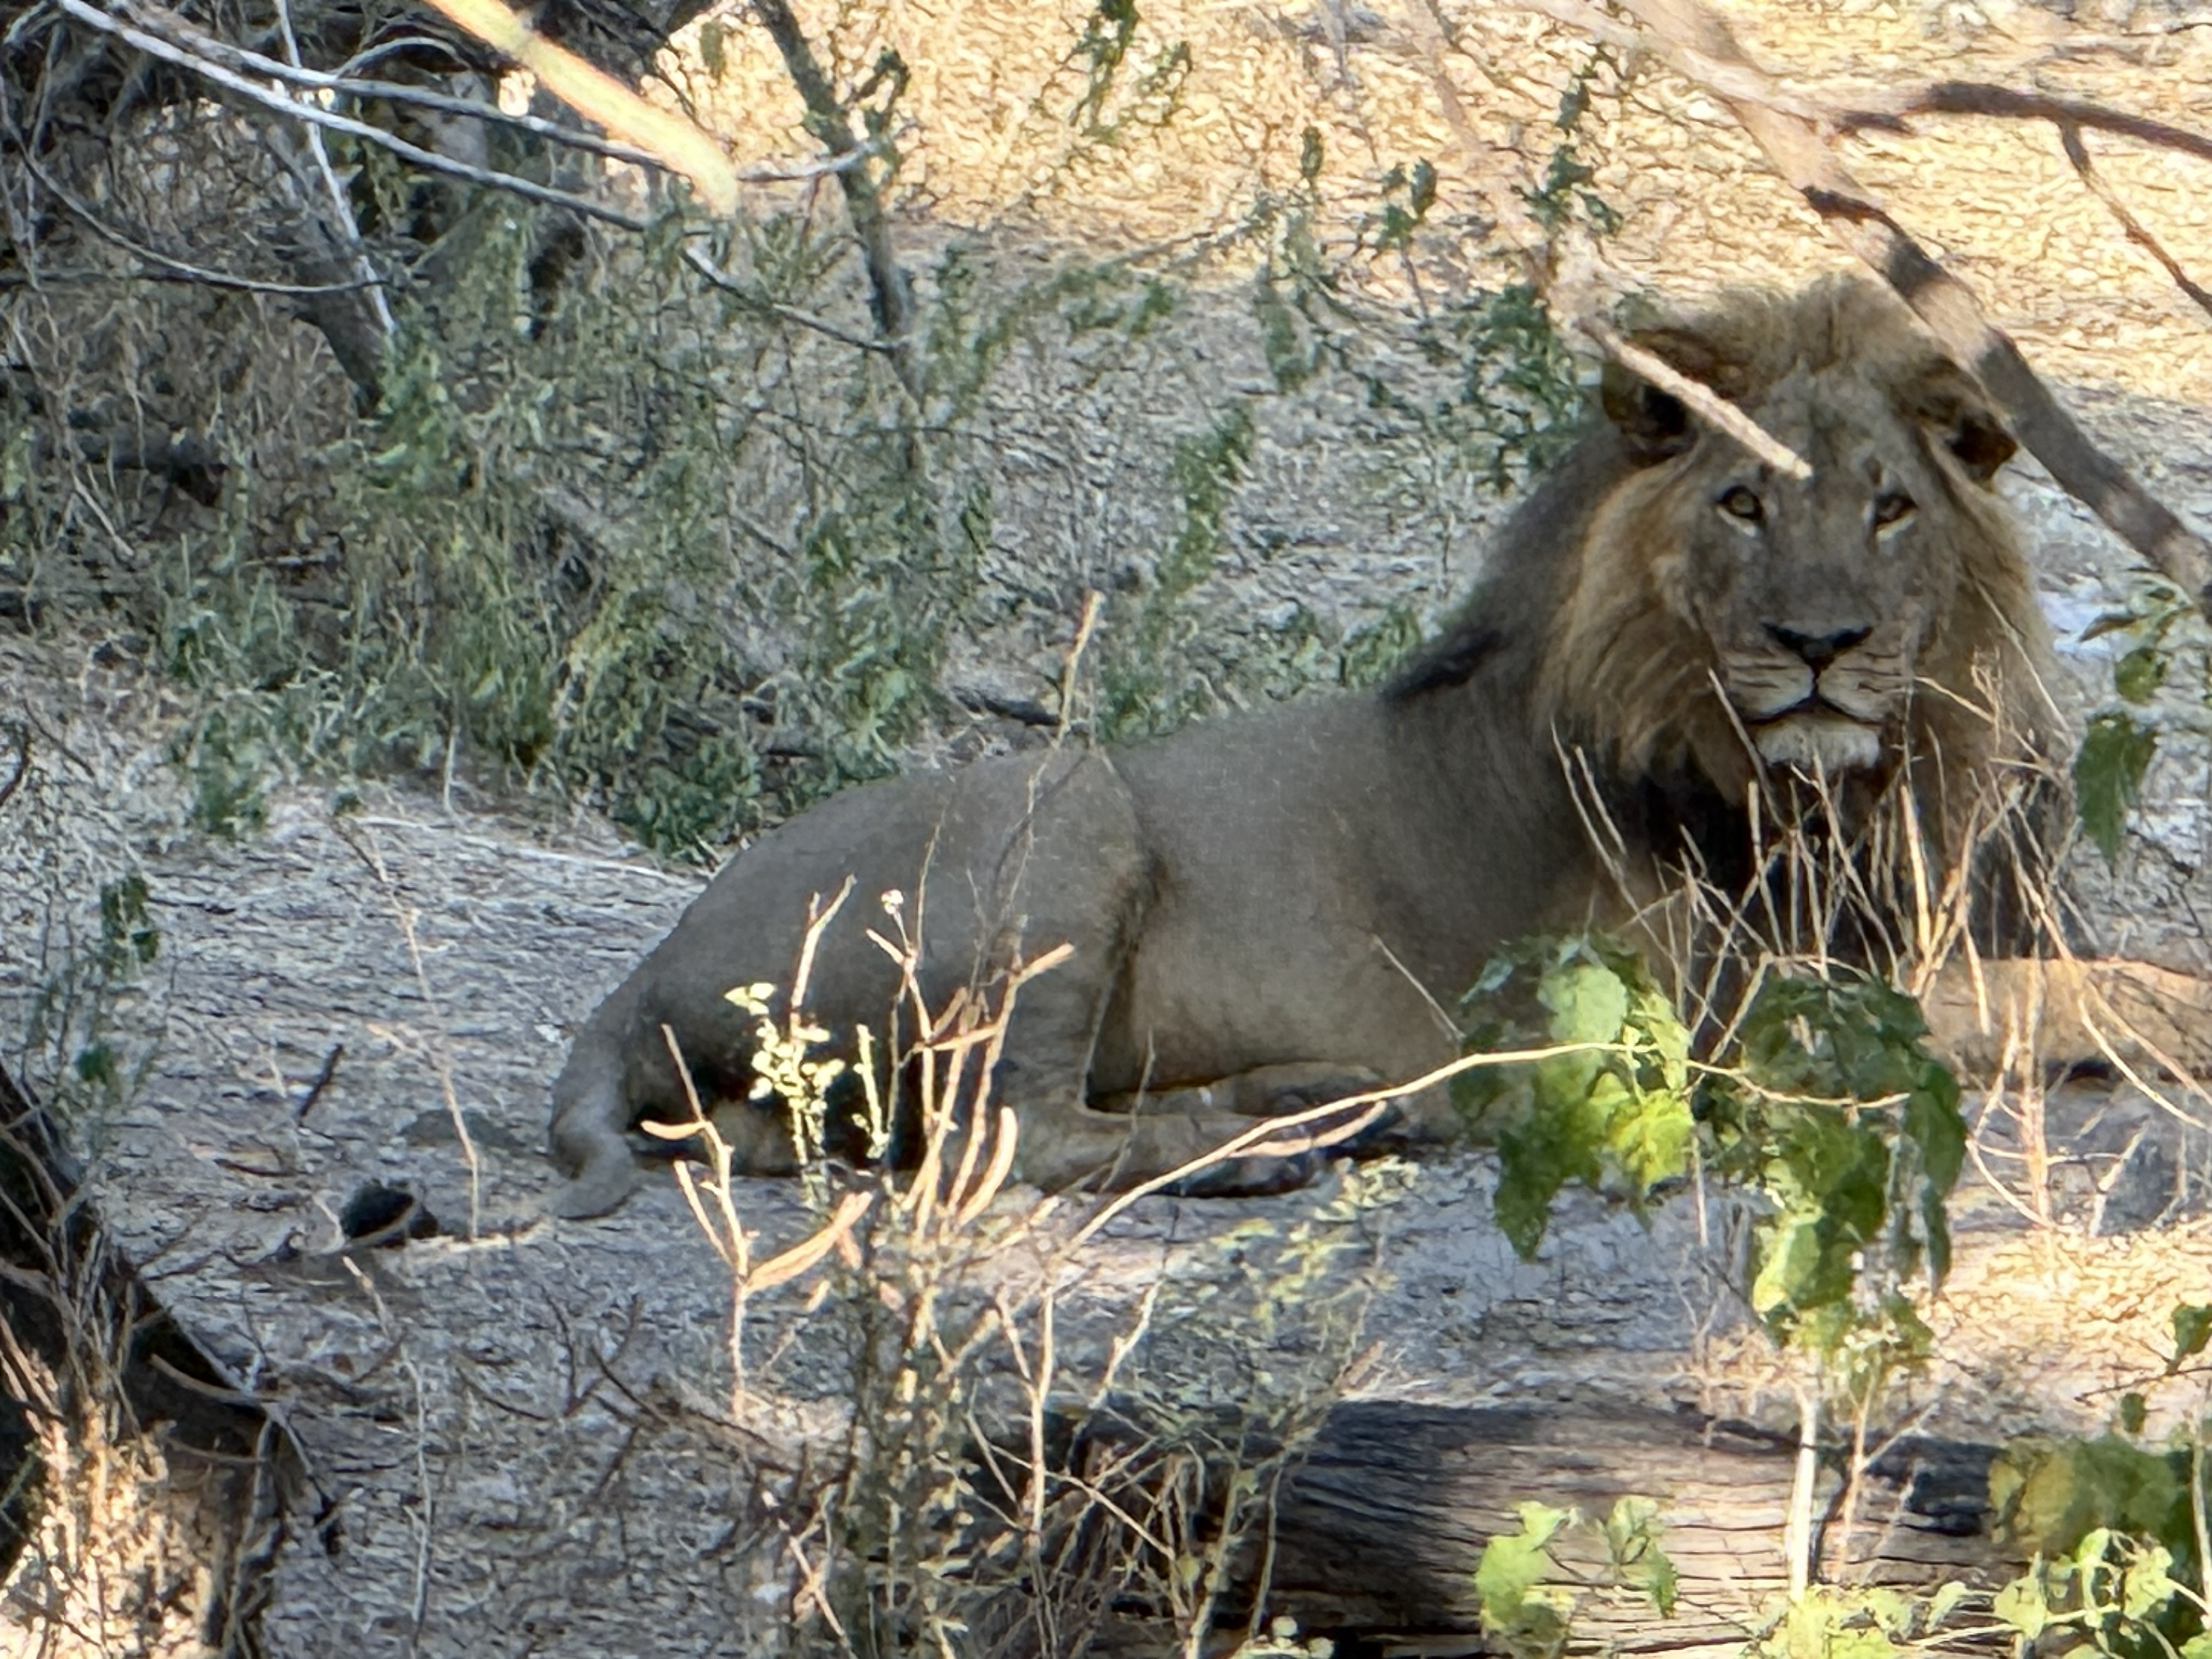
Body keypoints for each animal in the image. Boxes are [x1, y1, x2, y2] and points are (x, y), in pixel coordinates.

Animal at [547, 274, 2181, 1220]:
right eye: (1742, 504)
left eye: (1889, 508)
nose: (1822, 643)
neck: (1832, 785)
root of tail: (644, 966)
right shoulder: (1717, 1025)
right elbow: (2074, 996)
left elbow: (2084, 974)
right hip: (1068, 802)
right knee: (1000, 1139)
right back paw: (1282, 1142)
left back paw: (1312, 1102)